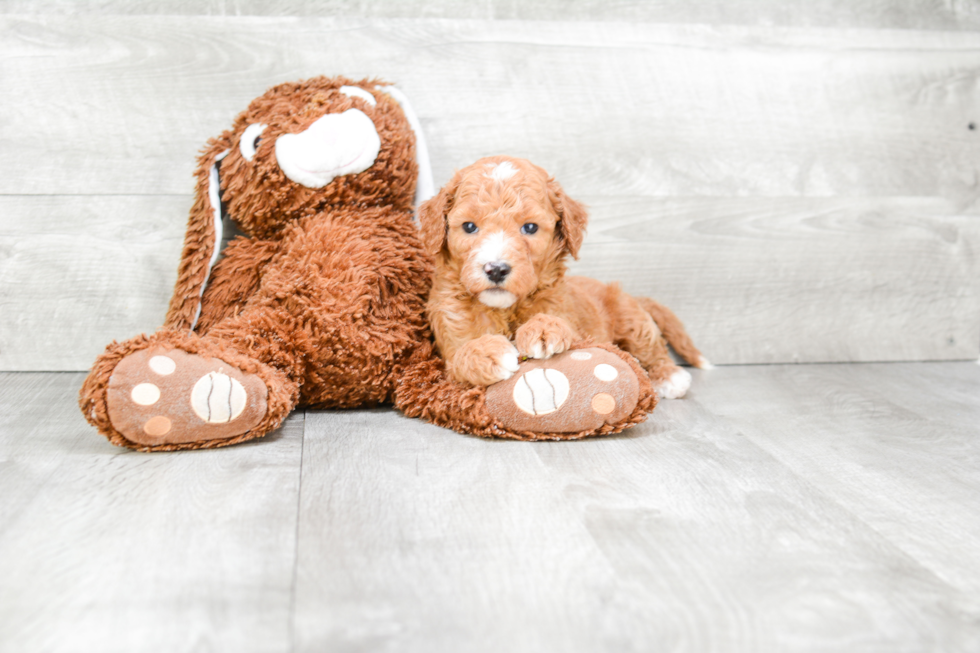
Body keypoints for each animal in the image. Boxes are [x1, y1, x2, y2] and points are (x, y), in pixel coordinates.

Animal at [418, 155, 708, 398]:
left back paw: (669, 377)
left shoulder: (566, 311)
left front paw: (543, 329)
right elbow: (460, 355)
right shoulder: (450, 337)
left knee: (652, 346)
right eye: (469, 226)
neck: (506, 309)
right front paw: (487, 353)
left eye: (530, 227)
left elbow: (561, 325)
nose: (497, 269)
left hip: (630, 318)